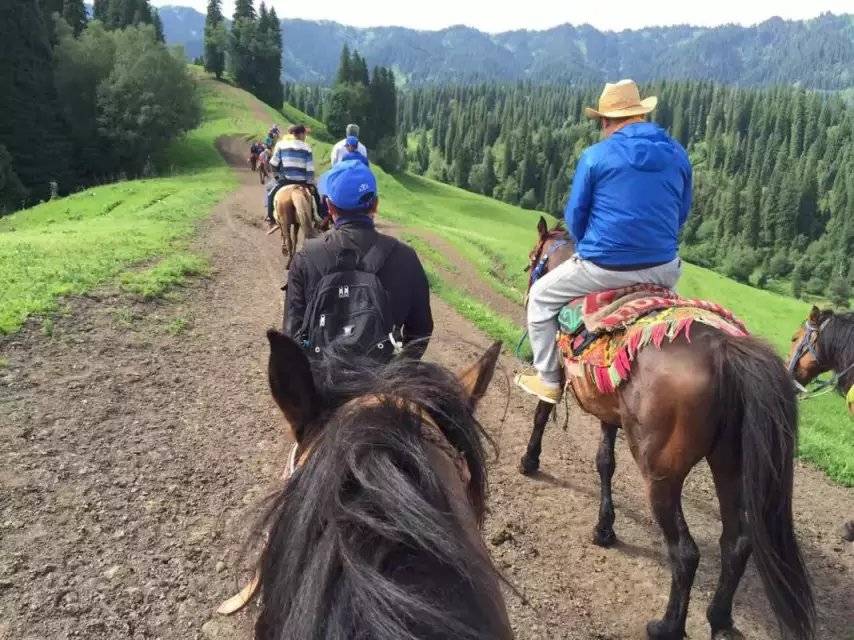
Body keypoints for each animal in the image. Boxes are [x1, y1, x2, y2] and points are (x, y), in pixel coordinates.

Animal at [520, 218, 820, 636]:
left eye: (534, 257)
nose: (528, 276)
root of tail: (725, 350)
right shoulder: (610, 411)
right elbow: (604, 462)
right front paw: (604, 528)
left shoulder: (559, 374)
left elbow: (541, 414)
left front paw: (529, 461)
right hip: (730, 464)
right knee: (737, 542)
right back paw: (719, 619)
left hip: (661, 474)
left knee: (685, 552)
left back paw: (667, 626)